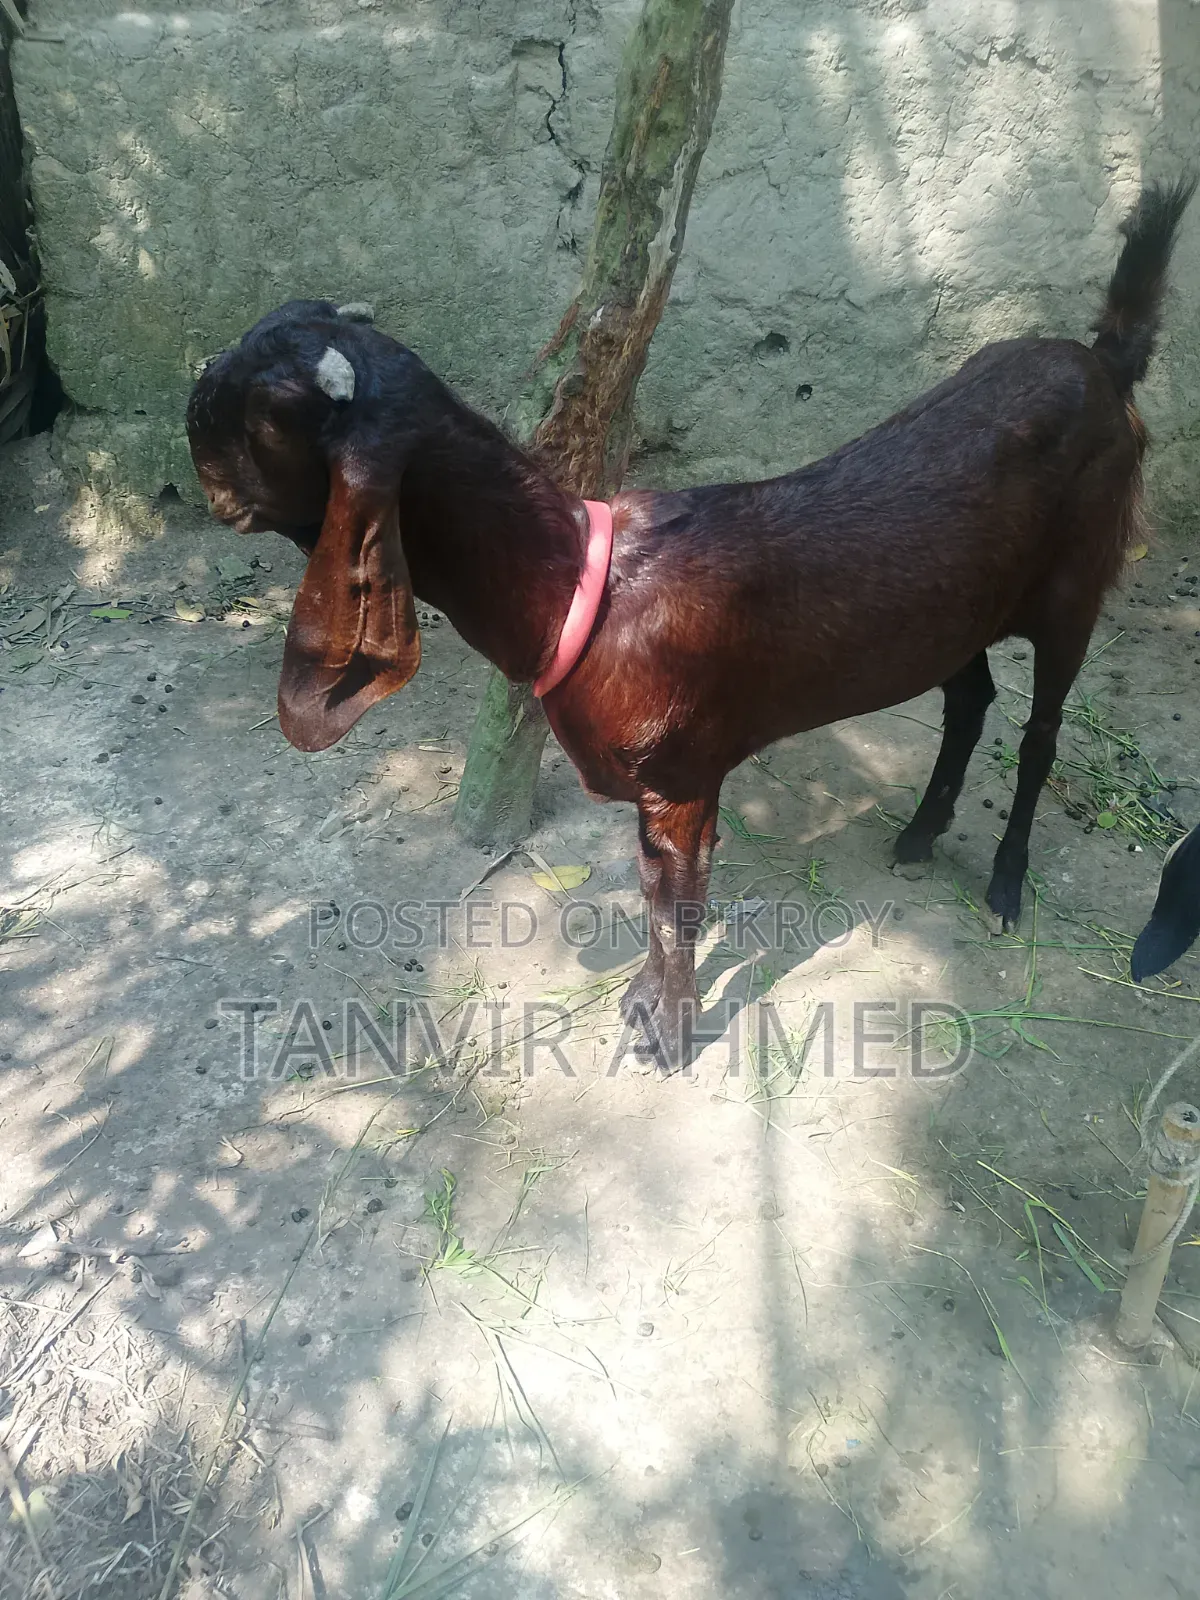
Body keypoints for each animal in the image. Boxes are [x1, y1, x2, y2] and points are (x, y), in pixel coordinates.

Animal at [187, 177, 1194, 1070]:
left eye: (271, 408)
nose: (193, 392)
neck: (578, 590)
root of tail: (1105, 360)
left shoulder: (681, 777)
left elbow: (676, 907)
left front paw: (667, 1035)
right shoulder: (663, 788)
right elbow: (654, 899)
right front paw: (641, 1004)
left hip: (1076, 584)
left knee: (1041, 730)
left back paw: (1005, 884)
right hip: (958, 611)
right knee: (971, 698)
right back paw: (917, 836)